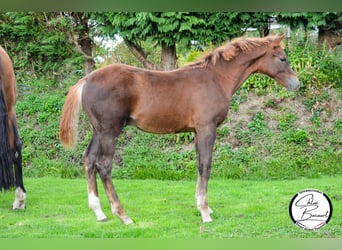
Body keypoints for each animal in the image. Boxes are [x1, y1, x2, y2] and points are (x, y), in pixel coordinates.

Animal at [59, 34, 300, 224]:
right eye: (283, 58)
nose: (296, 84)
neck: (216, 78)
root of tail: (87, 78)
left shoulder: (196, 131)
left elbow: (198, 164)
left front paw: (203, 206)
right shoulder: (207, 128)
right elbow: (205, 165)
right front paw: (205, 212)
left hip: (98, 131)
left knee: (89, 159)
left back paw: (99, 212)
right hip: (110, 131)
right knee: (104, 164)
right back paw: (123, 214)